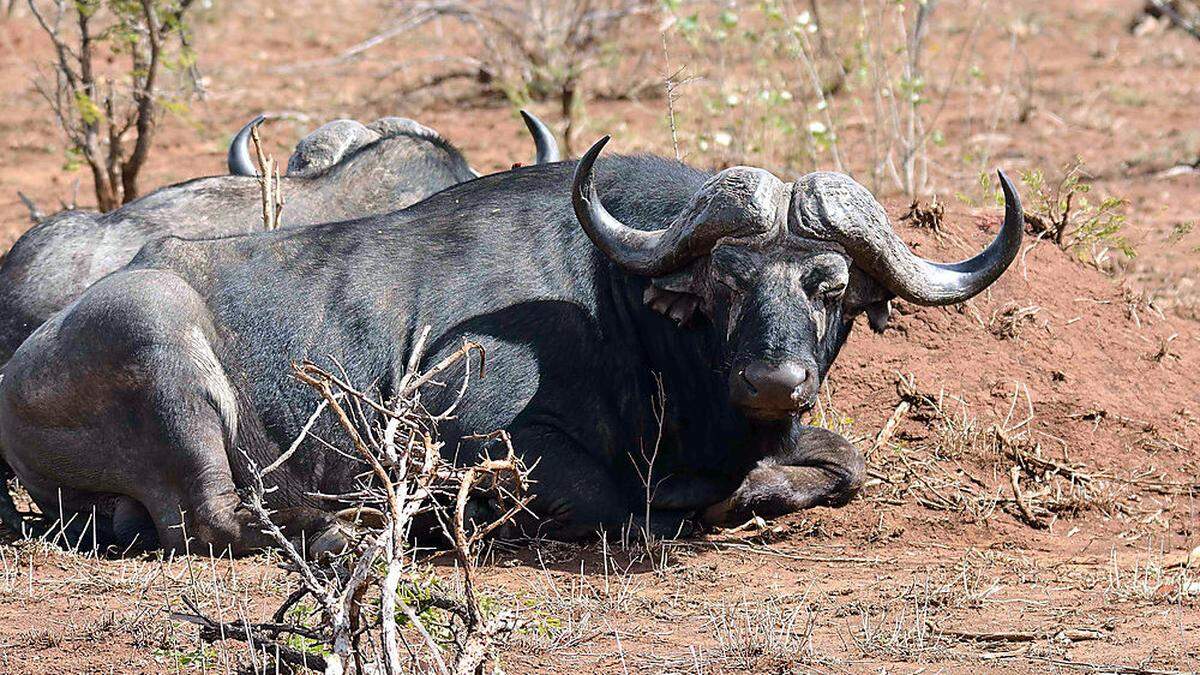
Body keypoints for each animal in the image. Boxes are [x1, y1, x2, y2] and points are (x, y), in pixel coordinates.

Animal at [0, 133, 1022, 550]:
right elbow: (634, 506)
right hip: (155, 327)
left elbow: (846, 459)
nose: (775, 377)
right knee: (218, 517)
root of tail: (19, 368)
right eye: (728, 279)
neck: (627, 316)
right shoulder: (490, 445)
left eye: (829, 284)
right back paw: (348, 529)